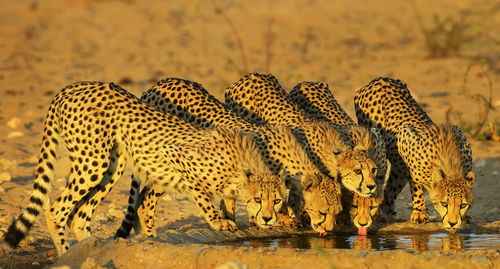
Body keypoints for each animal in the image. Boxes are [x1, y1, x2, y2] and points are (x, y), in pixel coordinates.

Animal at [2, 80, 286, 254]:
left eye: (278, 200)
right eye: (258, 199)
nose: (268, 218)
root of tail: (72, 86)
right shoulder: (177, 155)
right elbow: (203, 197)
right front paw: (220, 223)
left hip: (112, 165)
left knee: (80, 216)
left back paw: (93, 249)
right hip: (93, 161)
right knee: (55, 211)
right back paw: (67, 254)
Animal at [354, 76, 474, 231]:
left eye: (463, 205)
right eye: (444, 203)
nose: (452, 223)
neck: (450, 165)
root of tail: (380, 79)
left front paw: (464, 217)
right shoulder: (405, 138)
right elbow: (416, 186)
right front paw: (419, 212)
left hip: (399, 171)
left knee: (390, 189)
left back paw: (386, 213)